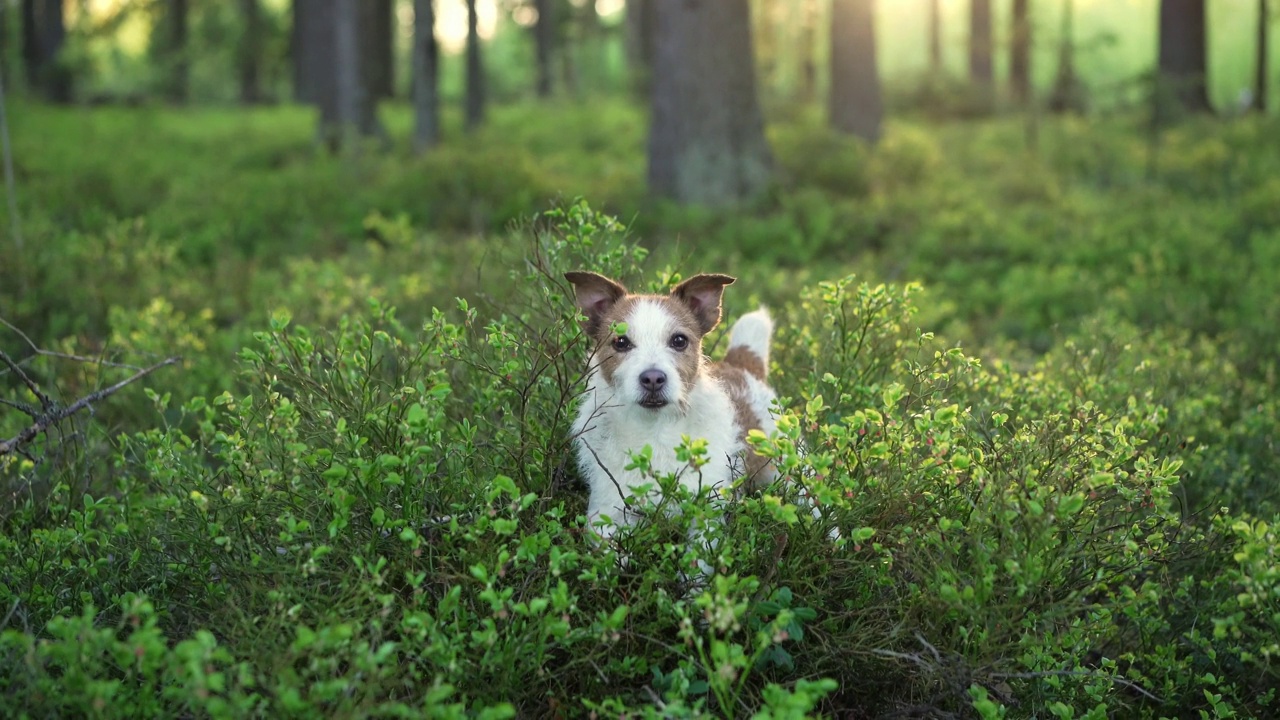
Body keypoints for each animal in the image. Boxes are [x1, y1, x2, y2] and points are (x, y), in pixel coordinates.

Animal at [568, 269, 783, 543]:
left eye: (679, 340)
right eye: (621, 342)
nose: (652, 378)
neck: (654, 429)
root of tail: (741, 366)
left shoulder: (705, 513)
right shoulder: (607, 514)